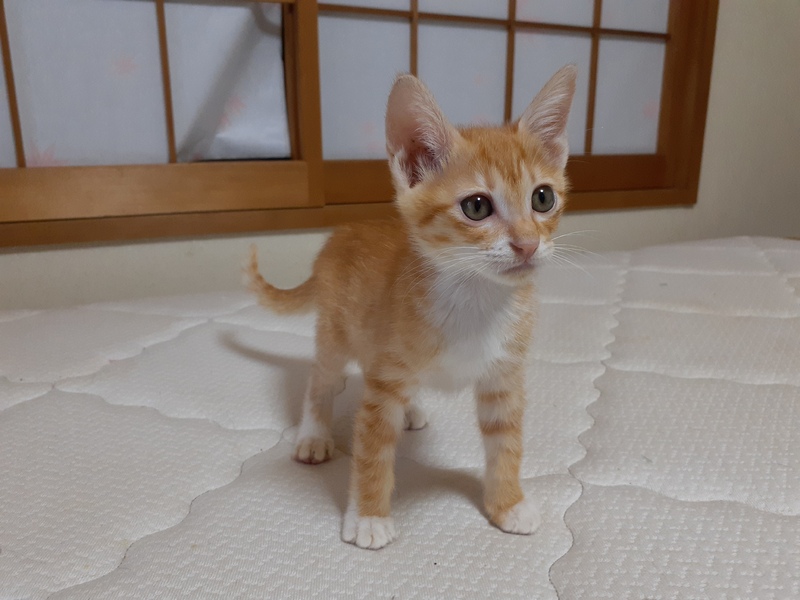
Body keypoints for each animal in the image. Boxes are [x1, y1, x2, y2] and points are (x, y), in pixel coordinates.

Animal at [247, 65, 576, 550]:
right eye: (477, 206)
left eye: (542, 198)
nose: (527, 245)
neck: (475, 298)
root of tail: (341, 232)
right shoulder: (384, 385)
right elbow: (372, 451)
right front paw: (369, 516)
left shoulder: (504, 378)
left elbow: (506, 444)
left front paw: (508, 503)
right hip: (336, 331)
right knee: (320, 379)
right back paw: (314, 434)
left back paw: (413, 409)